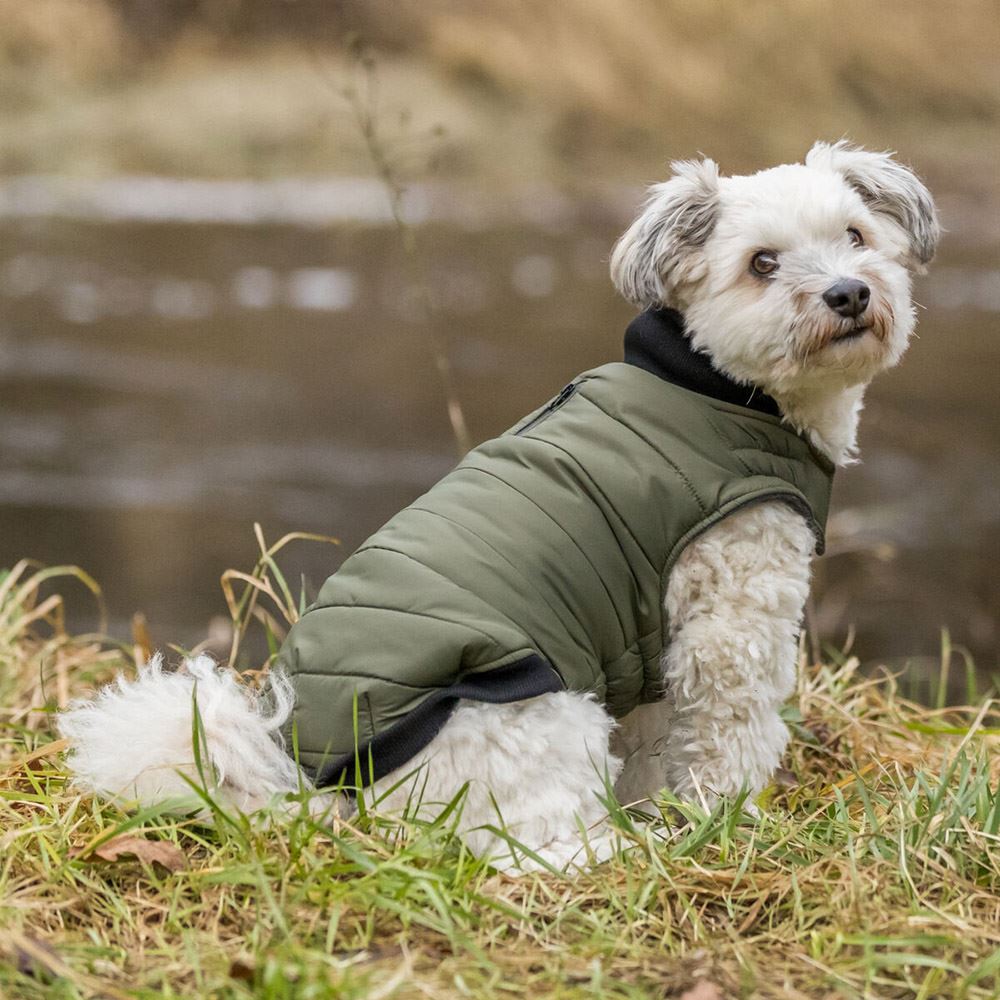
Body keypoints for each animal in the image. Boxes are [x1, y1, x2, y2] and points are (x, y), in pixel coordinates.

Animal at [60, 139, 936, 868]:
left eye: (857, 236)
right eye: (761, 264)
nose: (849, 293)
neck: (717, 389)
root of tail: (325, 790)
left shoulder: (653, 639)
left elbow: (660, 742)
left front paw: (669, 804)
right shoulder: (731, 623)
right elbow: (730, 737)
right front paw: (725, 821)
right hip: (547, 719)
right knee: (535, 848)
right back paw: (618, 852)